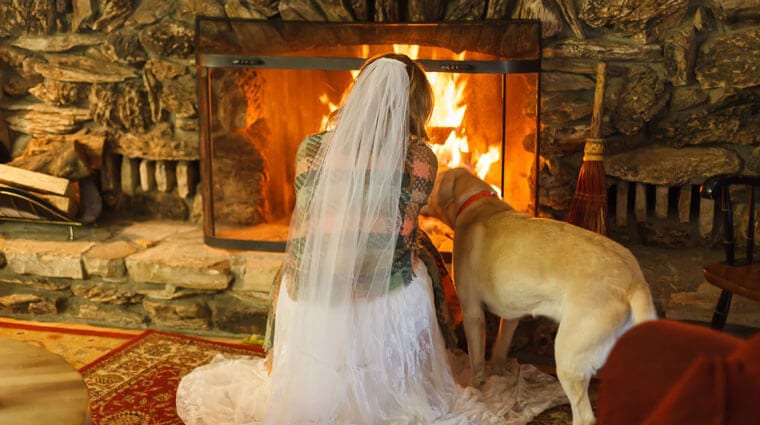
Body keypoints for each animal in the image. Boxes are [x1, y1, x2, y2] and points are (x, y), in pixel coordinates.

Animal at [422, 166, 660, 424]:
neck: (478, 203)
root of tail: (633, 280)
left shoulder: (471, 310)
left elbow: (476, 360)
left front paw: (476, 388)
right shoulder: (512, 314)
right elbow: (500, 347)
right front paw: (498, 373)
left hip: (568, 355)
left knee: (585, 416)